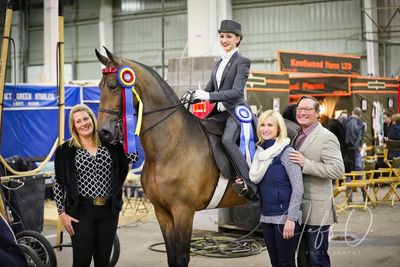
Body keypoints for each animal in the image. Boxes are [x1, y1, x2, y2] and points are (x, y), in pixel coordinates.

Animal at [96, 49, 247, 267]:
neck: (170, 148)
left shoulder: (183, 211)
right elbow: (171, 256)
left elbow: (182, 257)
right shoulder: (162, 212)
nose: (103, 132)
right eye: (99, 87)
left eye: (113, 86)